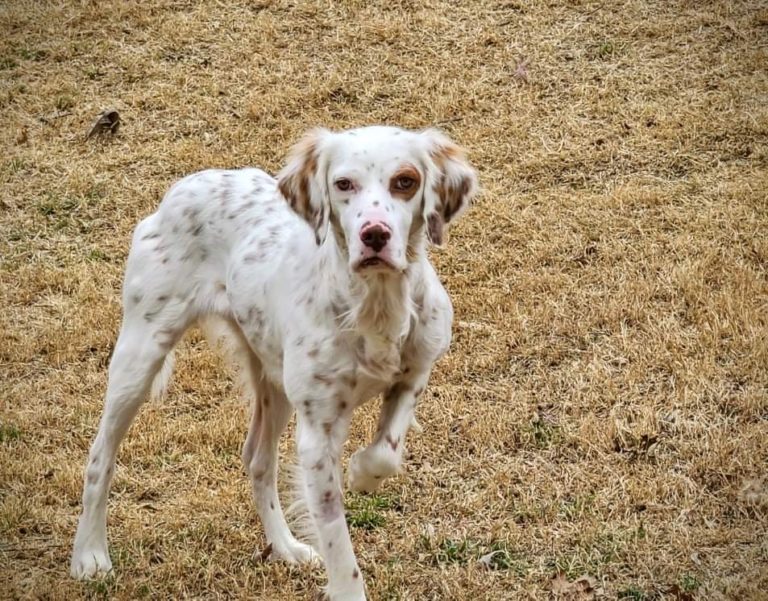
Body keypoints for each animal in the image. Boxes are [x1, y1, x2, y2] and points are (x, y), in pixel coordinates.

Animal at [73, 124, 480, 596]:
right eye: (344, 184)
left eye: (405, 181)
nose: (374, 235)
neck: (375, 305)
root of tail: (185, 185)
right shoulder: (318, 436)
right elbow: (338, 543)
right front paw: (348, 587)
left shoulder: (415, 373)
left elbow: (386, 452)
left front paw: (363, 474)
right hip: (140, 355)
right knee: (100, 456)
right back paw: (89, 556)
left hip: (274, 380)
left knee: (257, 459)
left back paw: (284, 547)